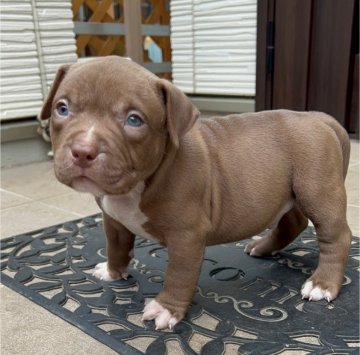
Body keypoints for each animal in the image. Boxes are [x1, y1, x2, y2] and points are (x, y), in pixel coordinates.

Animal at [40, 55, 352, 330]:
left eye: (134, 120)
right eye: (62, 109)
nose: (83, 151)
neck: (133, 188)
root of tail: (319, 118)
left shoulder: (186, 235)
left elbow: (179, 274)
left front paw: (166, 309)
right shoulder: (114, 219)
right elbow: (116, 246)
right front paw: (112, 271)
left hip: (318, 190)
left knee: (336, 236)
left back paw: (323, 284)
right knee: (293, 222)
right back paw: (263, 246)